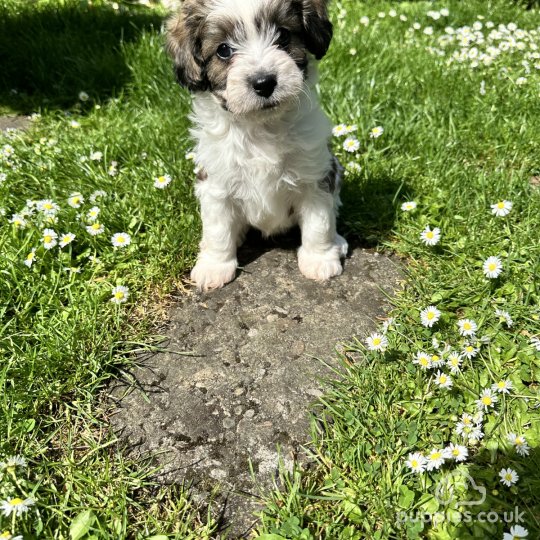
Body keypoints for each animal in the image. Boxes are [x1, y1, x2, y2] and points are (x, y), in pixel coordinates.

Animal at [167, 0, 348, 292]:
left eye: (283, 35)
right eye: (224, 50)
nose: (264, 82)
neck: (261, 126)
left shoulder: (315, 176)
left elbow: (319, 222)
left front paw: (319, 259)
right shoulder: (216, 183)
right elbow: (217, 229)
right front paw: (215, 266)